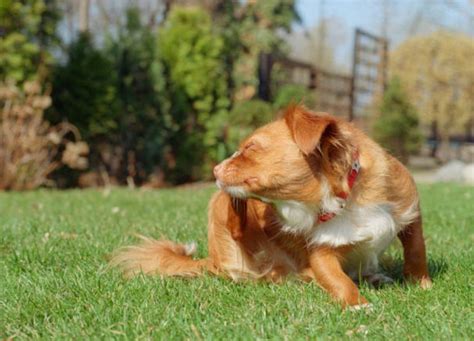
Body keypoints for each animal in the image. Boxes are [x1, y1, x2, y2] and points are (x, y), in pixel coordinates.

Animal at [110, 104, 430, 308]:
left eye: (250, 147)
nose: (214, 169)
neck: (344, 200)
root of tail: (211, 259)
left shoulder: (410, 211)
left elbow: (416, 251)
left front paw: (421, 284)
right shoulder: (320, 252)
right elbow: (336, 279)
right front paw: (357, 304)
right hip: (220, 210)